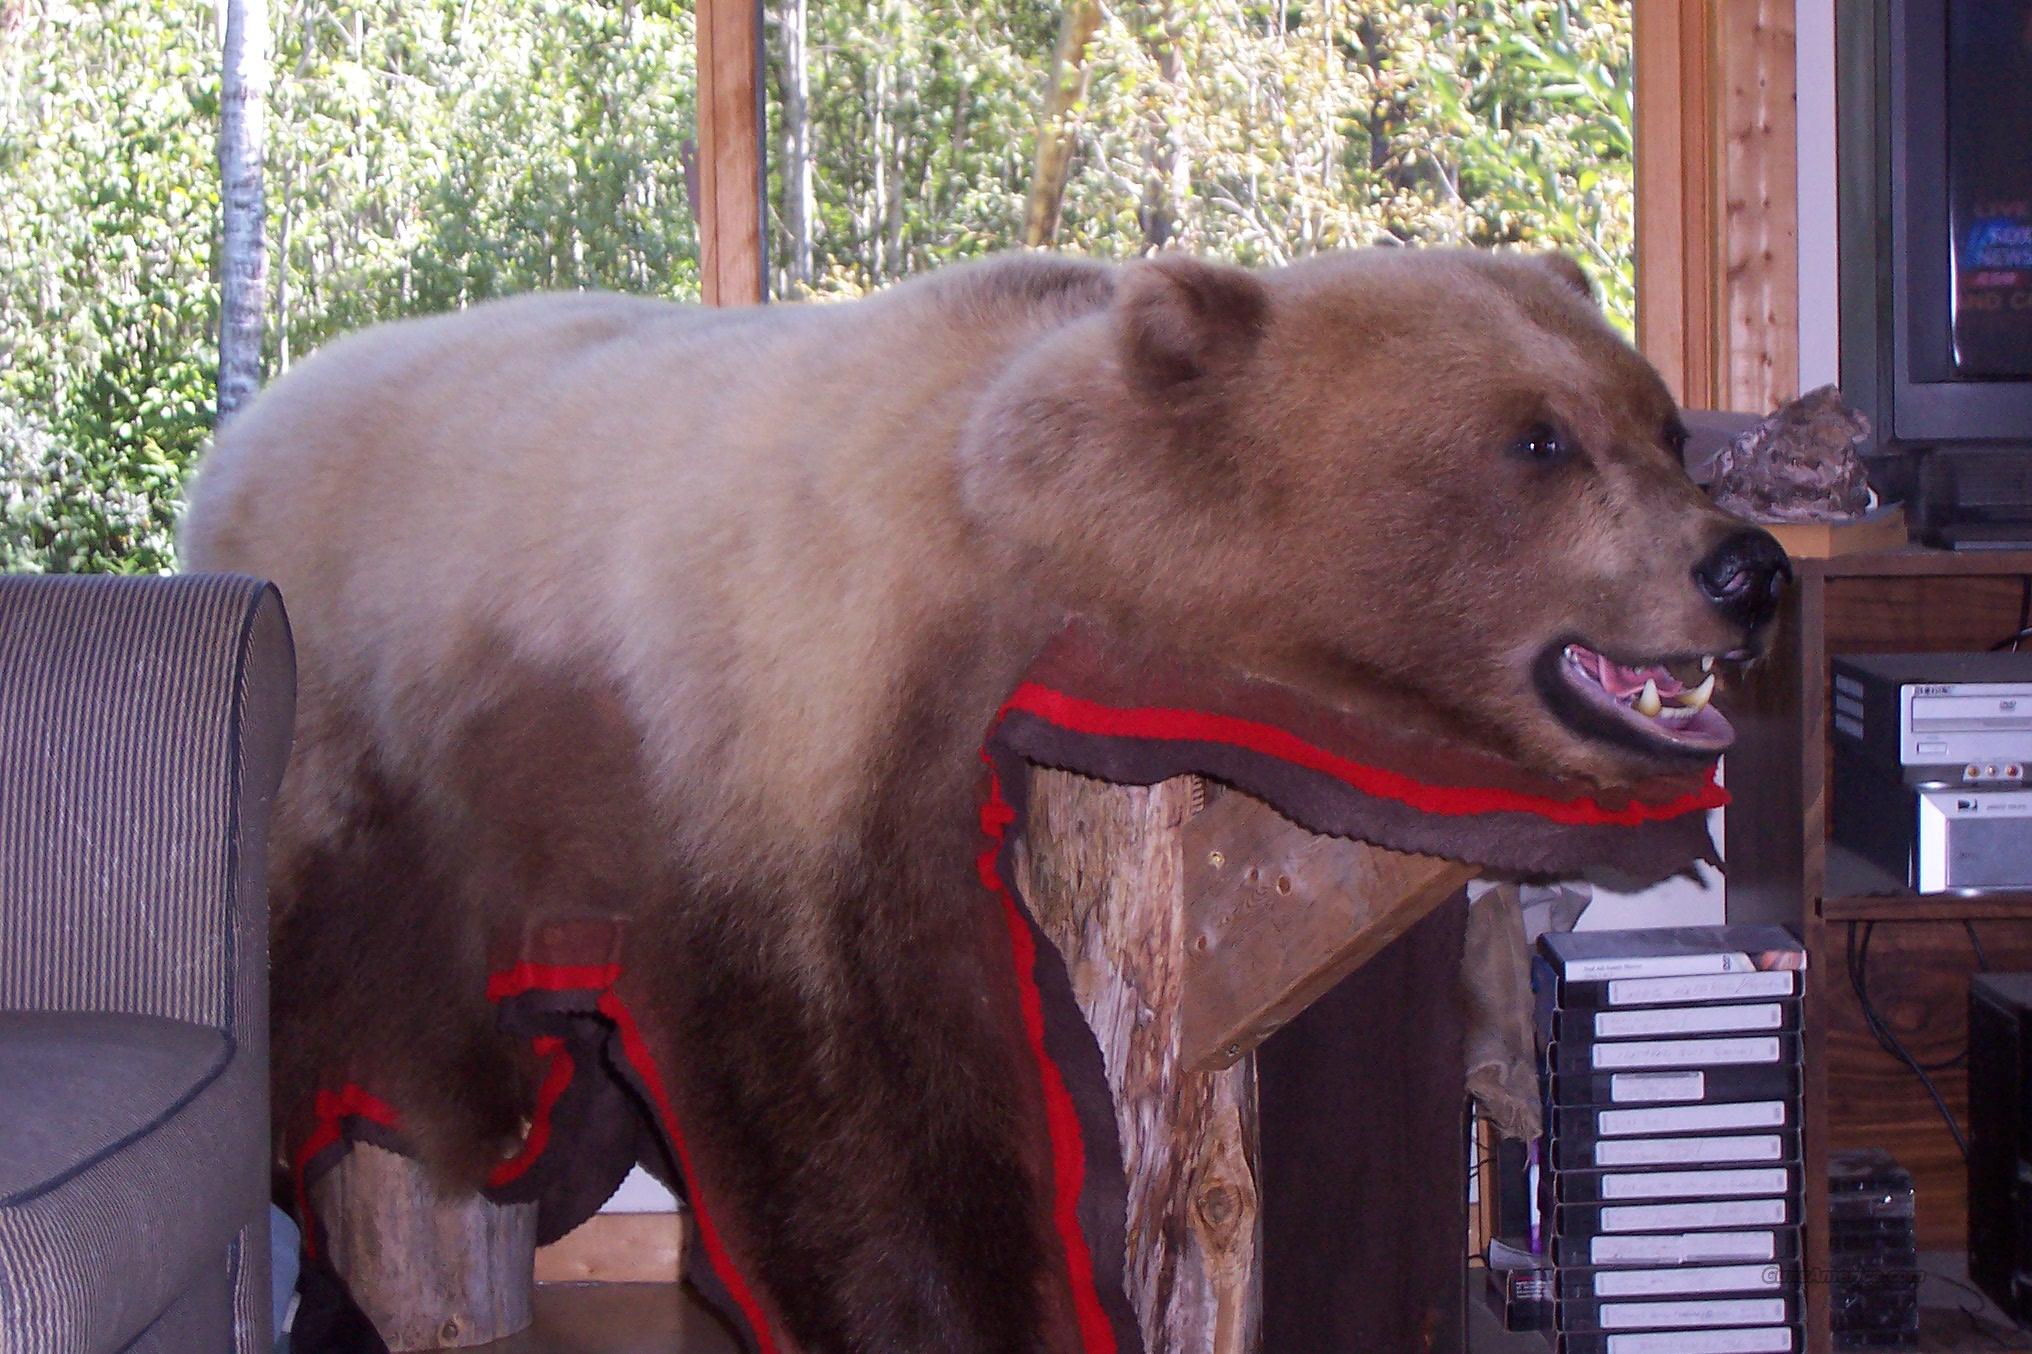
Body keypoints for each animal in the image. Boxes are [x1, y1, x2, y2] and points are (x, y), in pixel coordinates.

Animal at [178, 248, 1787, 1354]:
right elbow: (868, 1086)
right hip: (357, 747)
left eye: (1657, 420)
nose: (1747, 565)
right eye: (1535, 440)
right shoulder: (810, 712)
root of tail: (236, 441)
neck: (1005, 525)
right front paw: (980, 1301)